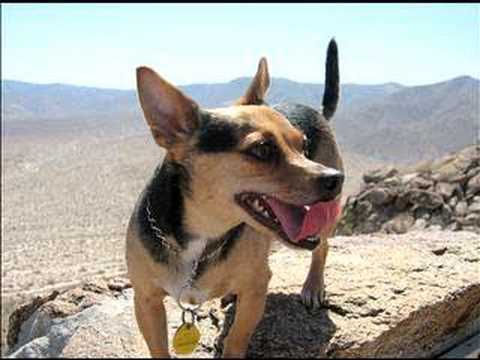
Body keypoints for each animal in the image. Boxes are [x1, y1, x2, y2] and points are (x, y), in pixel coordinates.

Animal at [126, 38, 344, 358]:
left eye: (303, 146)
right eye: (262, 149)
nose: (335, 179)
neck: (201, 239)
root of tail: (315, 110)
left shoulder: (256, 287)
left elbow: (236, 339)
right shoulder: (146, 300)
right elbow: (159, 349)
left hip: (327, 219)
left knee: (322, 246)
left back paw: (313, 285)